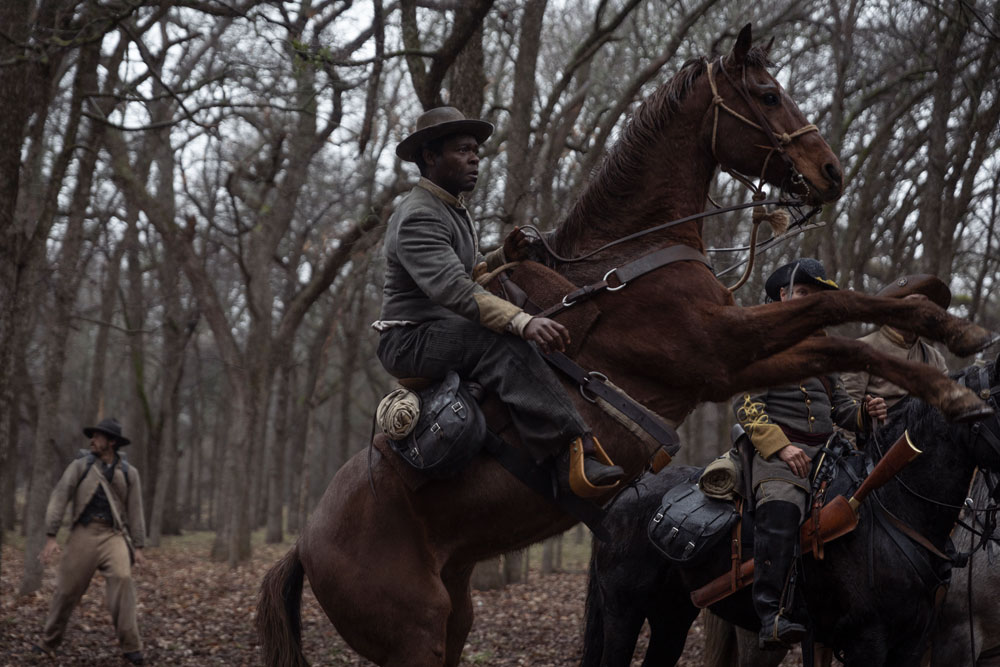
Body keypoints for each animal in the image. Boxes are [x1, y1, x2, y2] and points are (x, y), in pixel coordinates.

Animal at [256, 26, 992, 667]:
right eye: (768, 94)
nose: (830, 170)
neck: (629, 259)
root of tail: (305, 544)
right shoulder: (719, 353)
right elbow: (836, 314)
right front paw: (952, 384)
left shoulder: (735, 354)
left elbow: (851, 318)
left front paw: (949, 324)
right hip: (414, 635)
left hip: (455, 618)